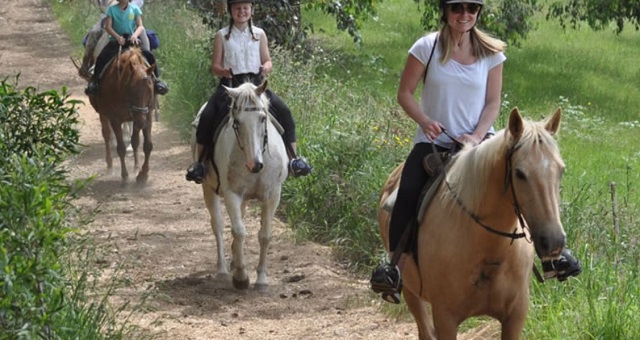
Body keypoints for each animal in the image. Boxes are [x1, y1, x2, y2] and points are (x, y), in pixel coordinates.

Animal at [87, 47, 156, 183]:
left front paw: (143, 174)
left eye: (150, 89)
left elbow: (147, 145)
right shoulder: (115, 119)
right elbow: (121, 148)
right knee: (107, 135)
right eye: (132, 89)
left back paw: (136, 167)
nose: (141, 122)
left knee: (134, 141)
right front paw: (125, 176)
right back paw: (110, 166)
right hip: (103, 114)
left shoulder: (147, 115)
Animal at [192, 80, 288, 290]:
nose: (255, 165)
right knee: (218, 226)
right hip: (208, 189)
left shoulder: (272, 195)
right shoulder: (231, 194)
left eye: (262, 118)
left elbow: (264, 235)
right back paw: (222, 270)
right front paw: (241, 277)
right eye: (237, 122)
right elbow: (238, 231)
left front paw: (261, 279)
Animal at [380, 107, 564, 338]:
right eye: (519, 173)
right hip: (410, 290)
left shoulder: (515, 316)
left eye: (561, 170)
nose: (554, 242)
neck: (490, 249)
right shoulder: (445, 317)